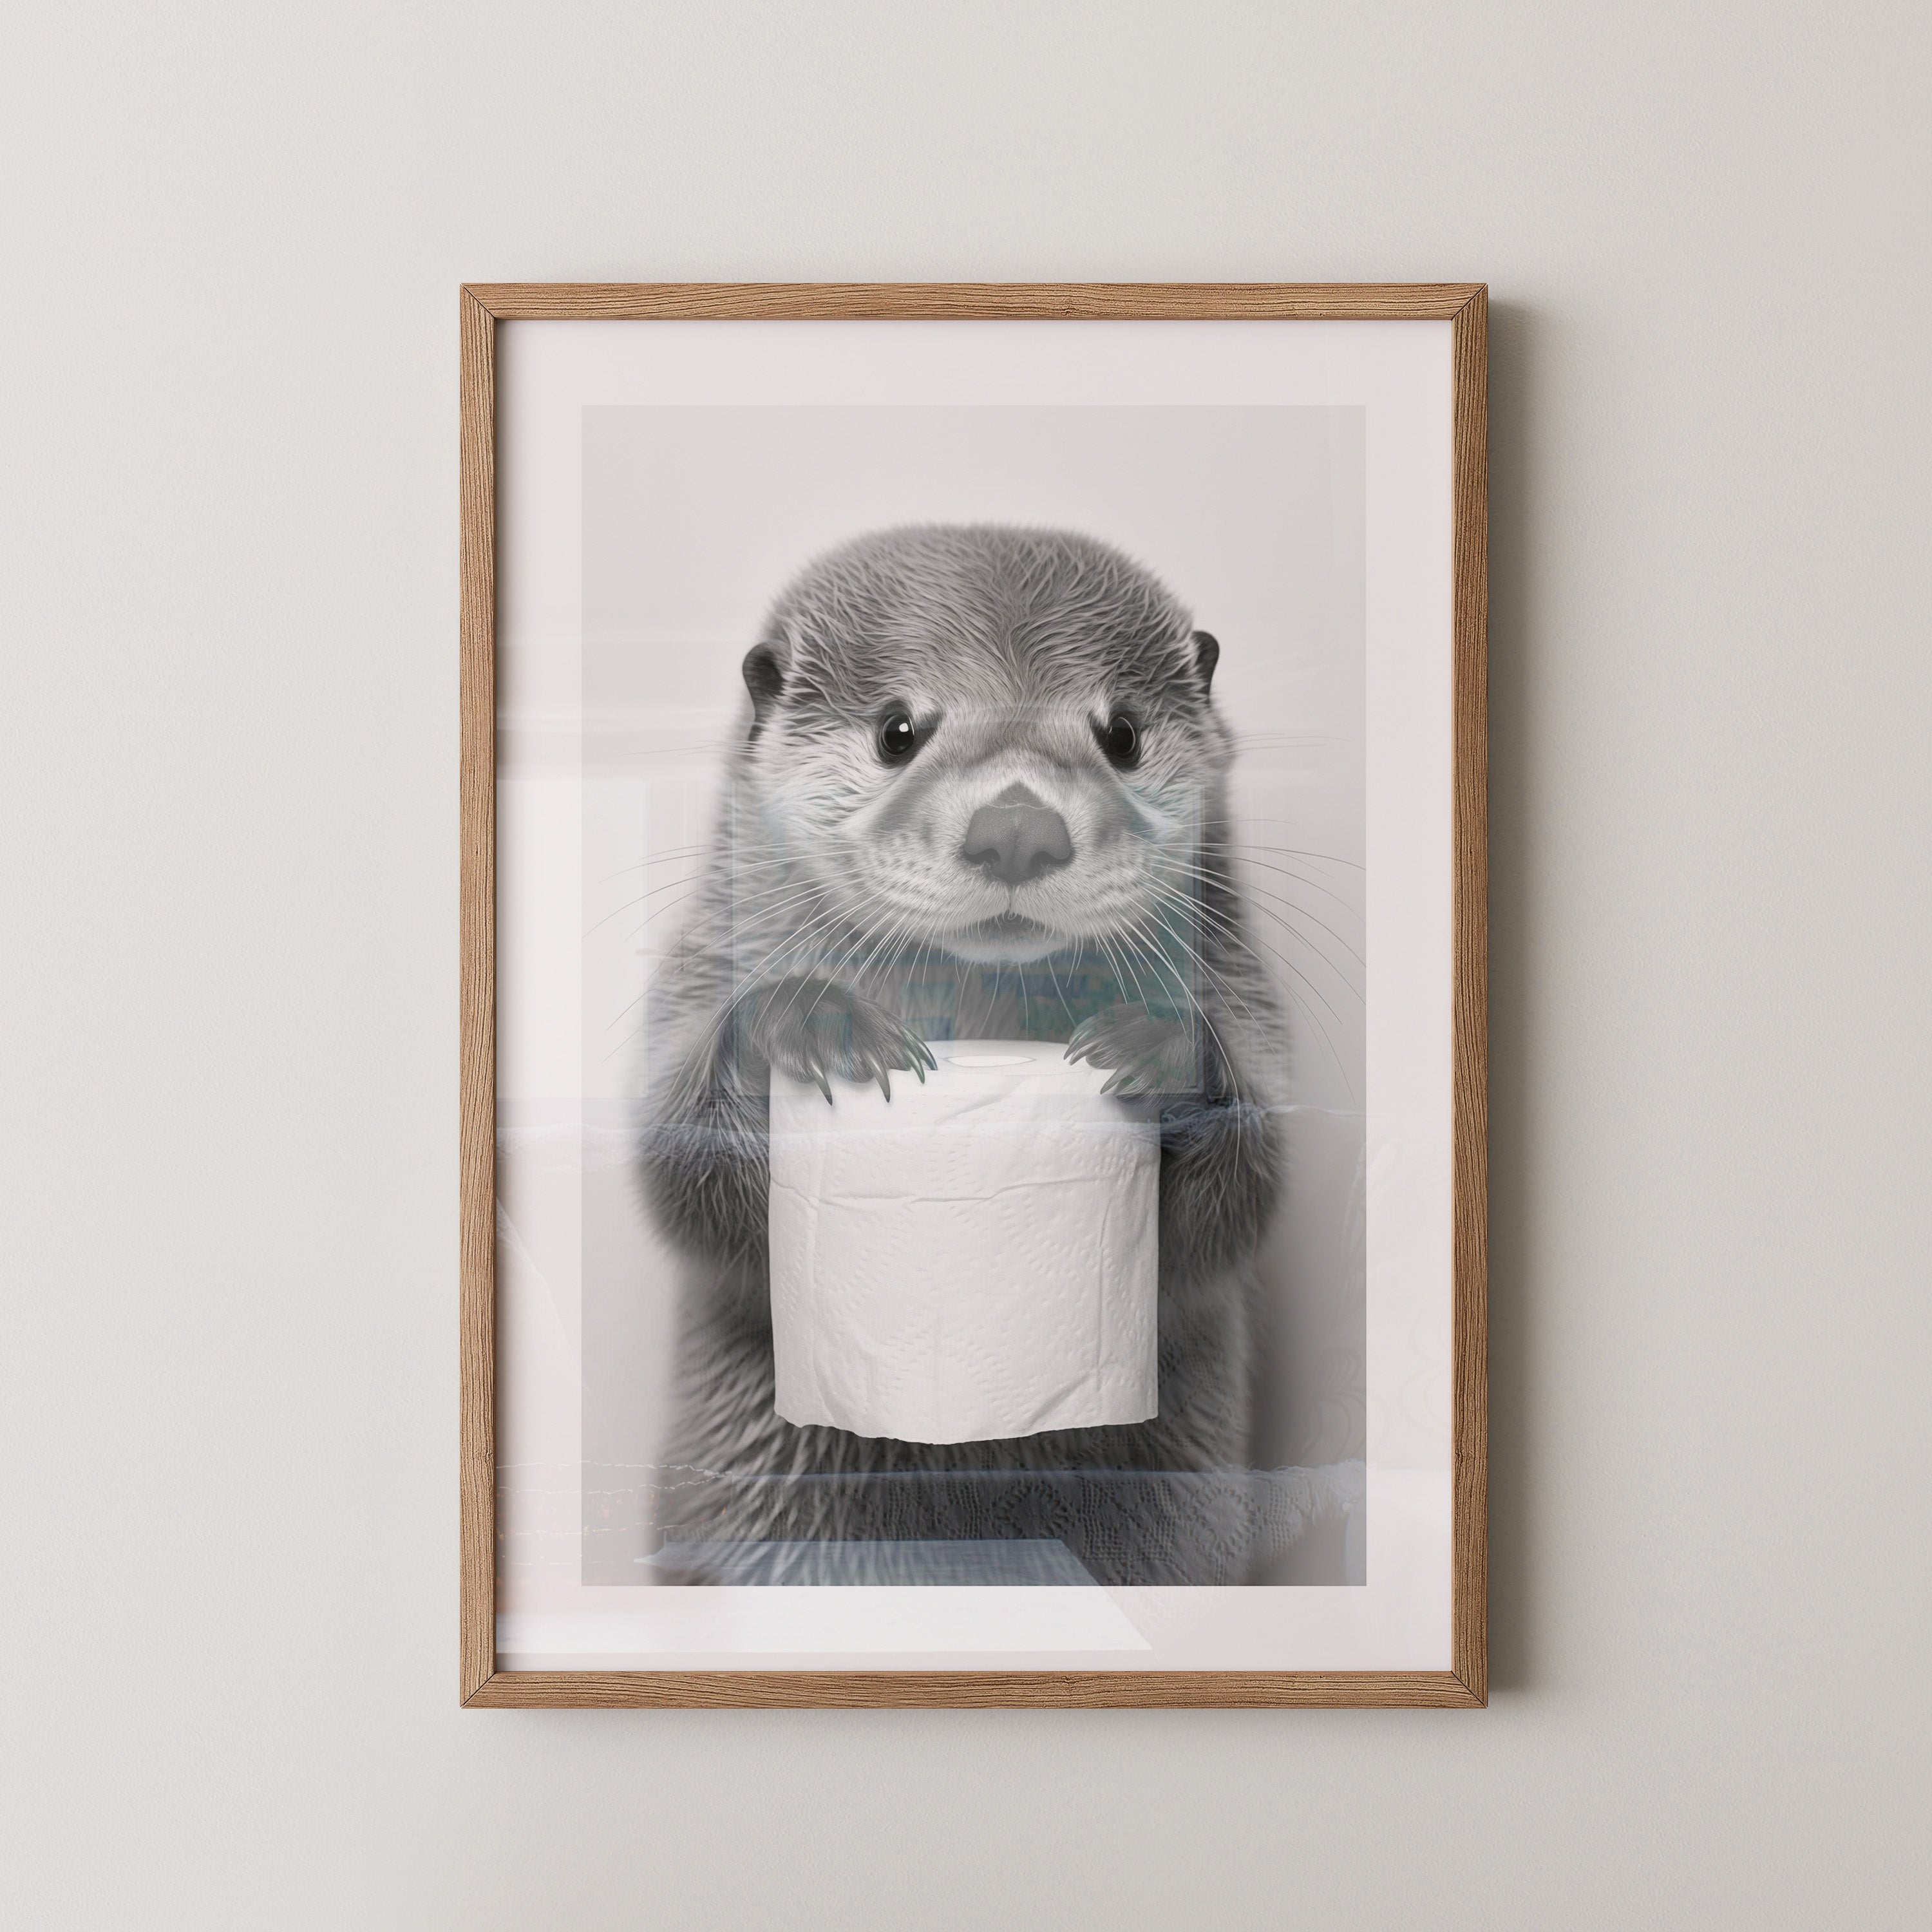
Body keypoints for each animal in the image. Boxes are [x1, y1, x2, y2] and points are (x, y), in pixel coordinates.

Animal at [637, 525, 1284, 1584]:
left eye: (1121, 734)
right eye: (898, 731)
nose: (1017, 827)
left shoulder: (1242, 987)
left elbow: (1243, 1202)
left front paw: (1157, 1044)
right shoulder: (706, 962)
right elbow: (682, 1183)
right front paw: (811, 1023)